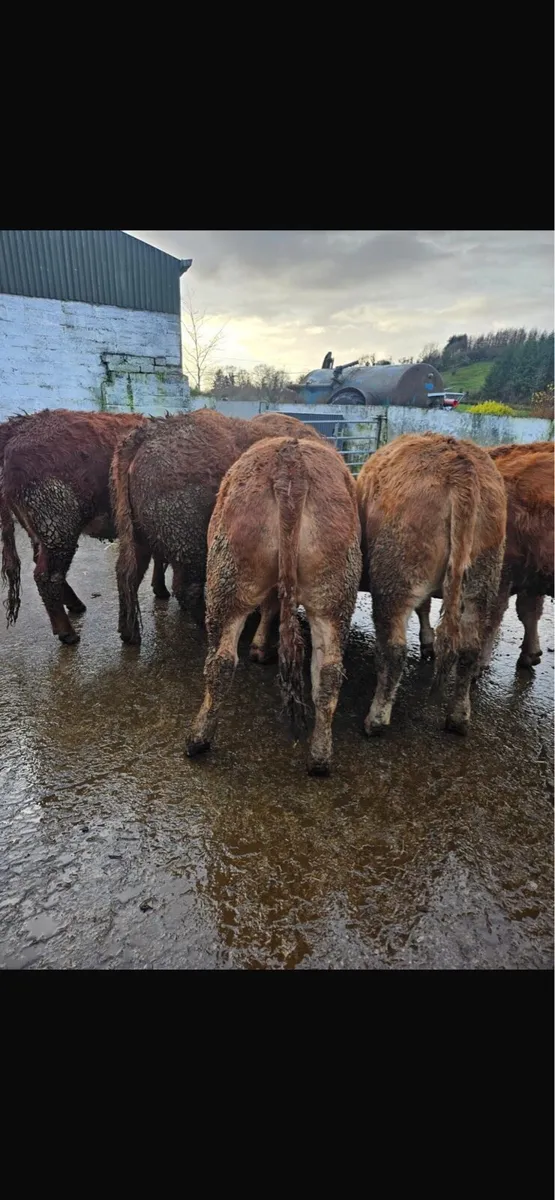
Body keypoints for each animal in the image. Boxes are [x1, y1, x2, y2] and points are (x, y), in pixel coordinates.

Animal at [0, 408, 168, 645]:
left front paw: (160, 588)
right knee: (46, 577)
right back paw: (67, 633)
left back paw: (75, 605)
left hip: (41, 531)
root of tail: (16, 430)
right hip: (58, 527)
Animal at [111, 407, 323, 647]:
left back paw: (129, 634)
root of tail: (144, 436)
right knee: (185, 589)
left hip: (139, 539)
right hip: (190, 547)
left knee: (128, 575)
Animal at [186, 436, 362, 775]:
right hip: (334, 591)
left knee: (221, 662)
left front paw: (257, 648)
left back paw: (198, 738)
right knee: (329, 672)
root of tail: (291, 461)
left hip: (228, 578)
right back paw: (320, 757)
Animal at [357, 432, 507, 736]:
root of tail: (460, 466)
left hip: (396, 574)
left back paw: (376, 718)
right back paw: (459, 718)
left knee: (394, 650)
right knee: (469, 649)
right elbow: (425, 608)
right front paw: (427, 642)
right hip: (482, 580)